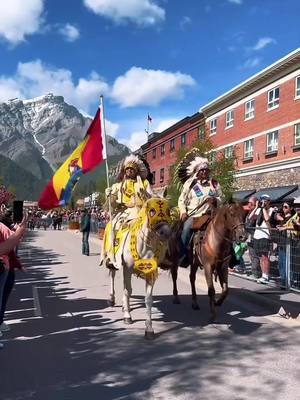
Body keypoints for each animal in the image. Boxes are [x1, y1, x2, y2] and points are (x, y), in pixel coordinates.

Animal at [106, 198, 171, 340]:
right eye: (152, 211)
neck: (144, 246)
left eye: (169, 210)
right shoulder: (127, 268)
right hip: (113, 259)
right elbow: (127, 291)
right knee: (113, 276)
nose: (166, 232)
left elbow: (148, 299)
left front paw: (149, 329)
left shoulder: (150, 272)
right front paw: (127, 317)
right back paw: (112, 299)